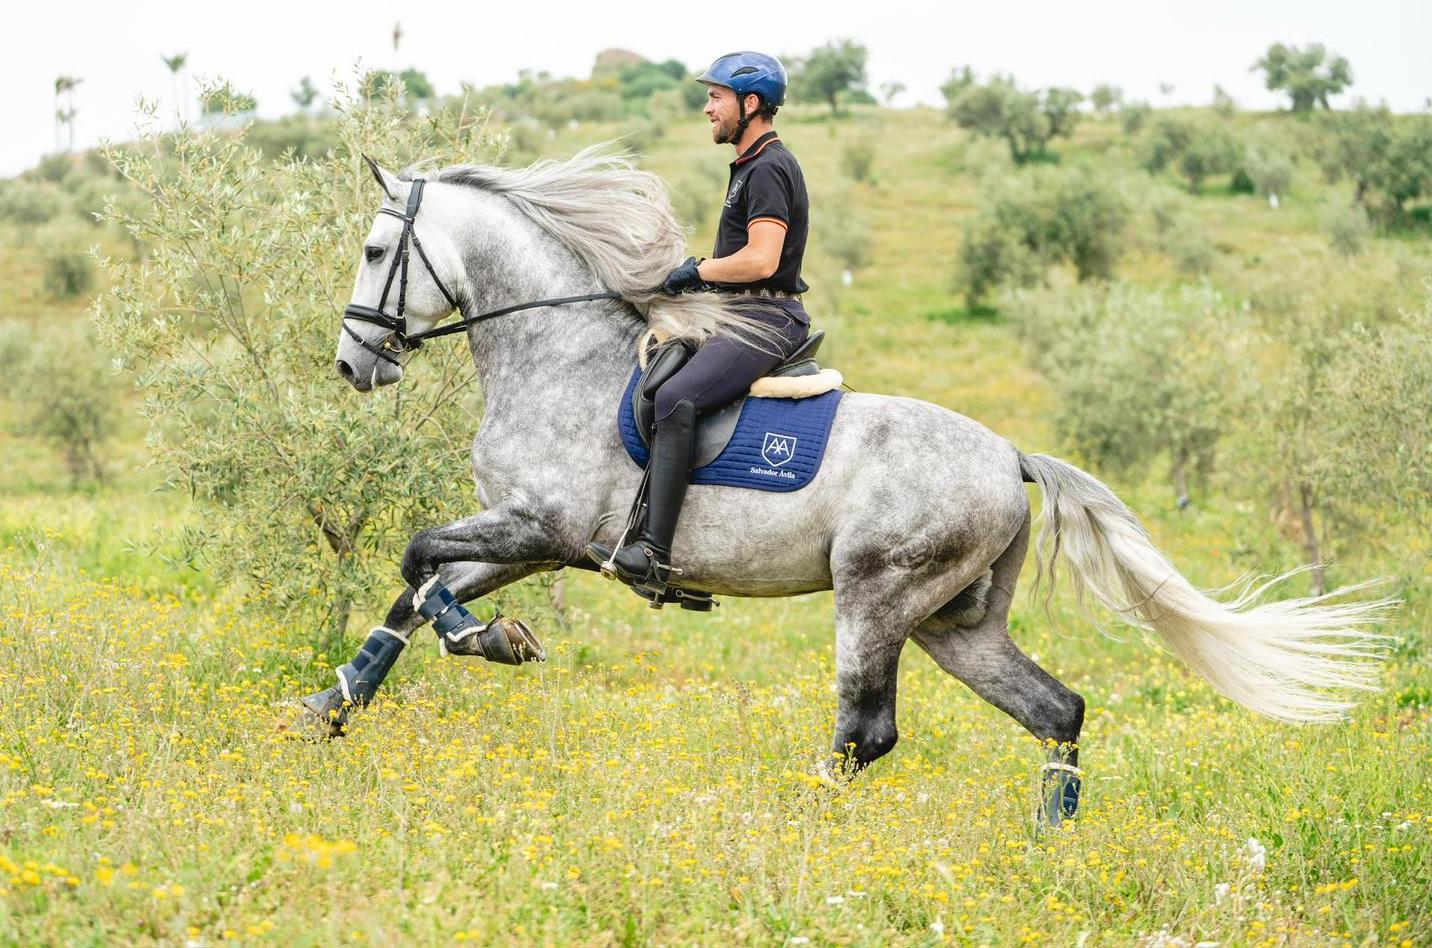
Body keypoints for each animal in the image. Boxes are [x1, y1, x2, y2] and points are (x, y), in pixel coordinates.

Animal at [303, 147, 1390, 826]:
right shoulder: (522, 535)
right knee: (1058, 710)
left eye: (373, 251)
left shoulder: (543, 529)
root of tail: (1009, 457)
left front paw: (496, 641)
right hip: (955, 621)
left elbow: (418, 561)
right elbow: (410, 590)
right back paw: (1051, 841)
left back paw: (792, 821)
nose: (355, 365)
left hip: (876, 595)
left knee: (868, 730)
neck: (554, 352)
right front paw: (327, 710)